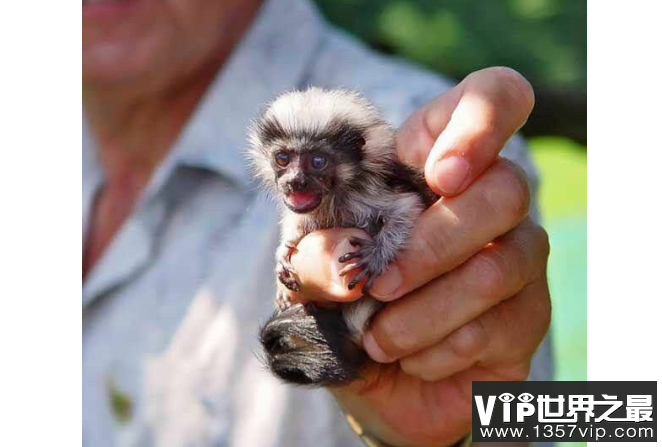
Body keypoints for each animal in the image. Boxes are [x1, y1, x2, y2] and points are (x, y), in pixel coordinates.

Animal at [246, 89, 438, 386]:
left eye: (318, 162)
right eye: (282, 159)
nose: (295, 181)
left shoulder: (374, 191)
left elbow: (408, 207)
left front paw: (374, 256)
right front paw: (283, 251)